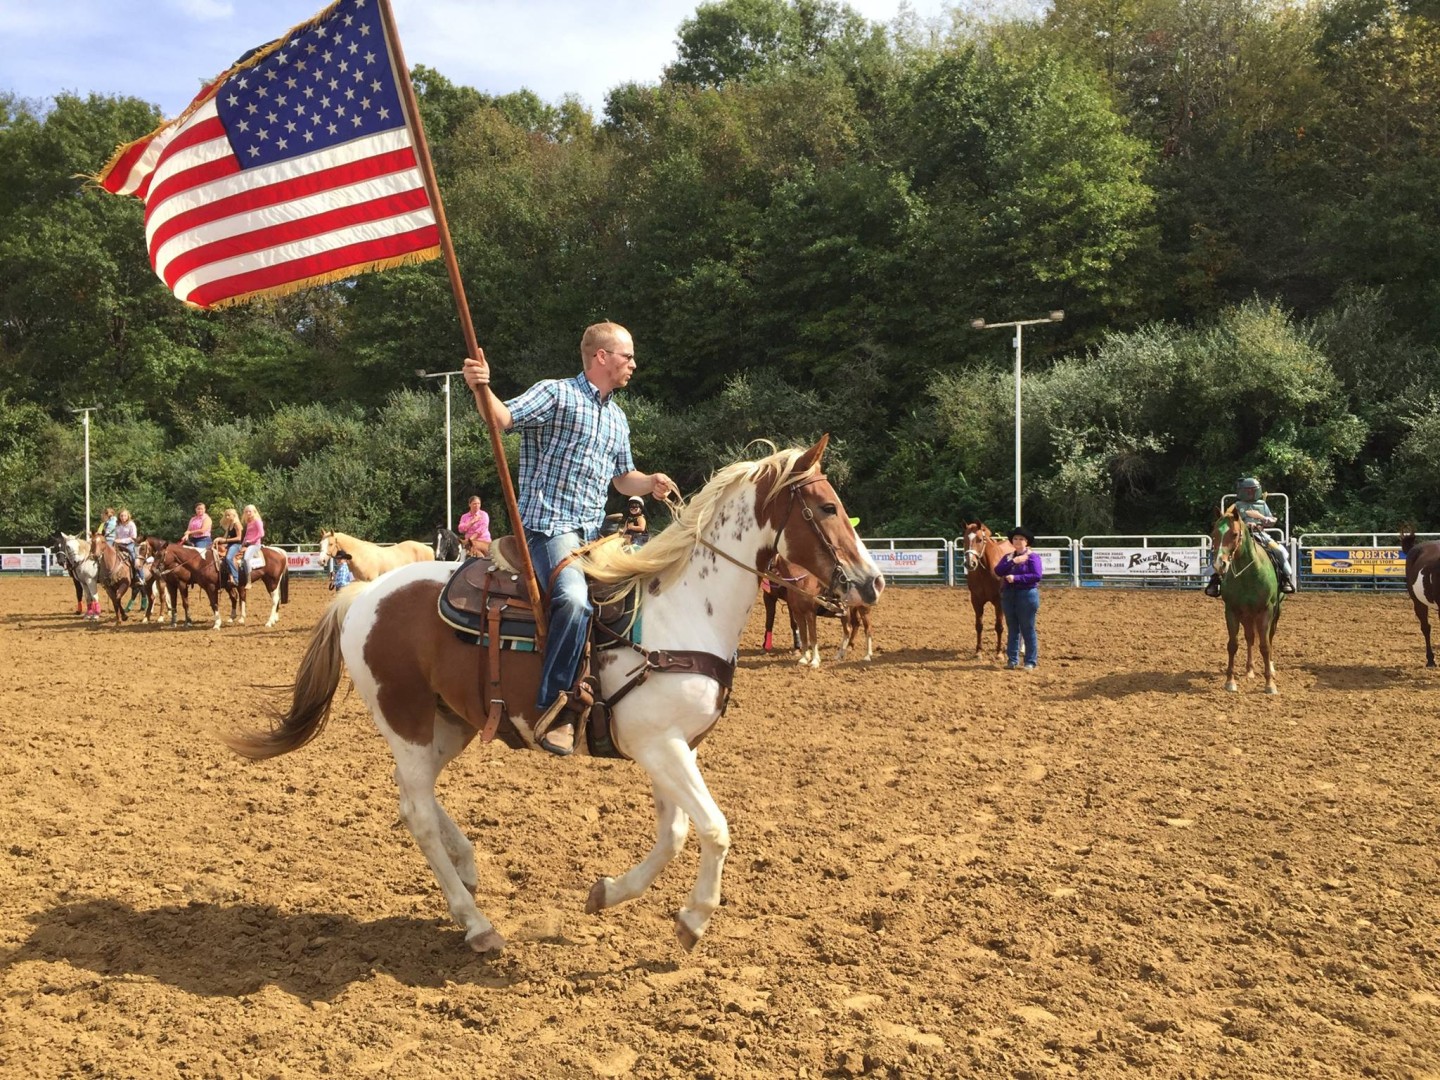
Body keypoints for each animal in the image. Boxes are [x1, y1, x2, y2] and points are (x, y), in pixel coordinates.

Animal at [226, 437, 881, 956]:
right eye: (827, 507)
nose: (872, 582)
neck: (683, 611)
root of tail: (362, 596)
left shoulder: (669, 747)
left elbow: (674, 833)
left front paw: (608, 893)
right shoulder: (660, 745)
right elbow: (714, 829)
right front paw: (693, 921)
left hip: (450, 722)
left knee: (418, 798)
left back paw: (468, 869)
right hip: (406, 719)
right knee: (416, 812)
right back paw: (477, 924)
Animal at [961, 521, 1008, 656]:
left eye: (980, 539)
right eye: (964, 540)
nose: (970, 563)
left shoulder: (999, 602)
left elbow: (999, 626)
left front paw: (999, 653)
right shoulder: (976, 600)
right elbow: (979, 626)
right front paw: (978, 651)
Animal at [1215, 506, 1284, 696]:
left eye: (1234, 534)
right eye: (1214, 533)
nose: (1220, 564)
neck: (1249, 573)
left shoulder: (1266, 611)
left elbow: (1265, 646)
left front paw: (1270, 684)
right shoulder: (1231, 610)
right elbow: (1233, 645)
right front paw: (1230, 681)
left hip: (1275, 613)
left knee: (1269, 637)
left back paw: (1271, 668)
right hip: (1247, 616)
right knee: (1250, 637)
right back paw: (1249, 669)